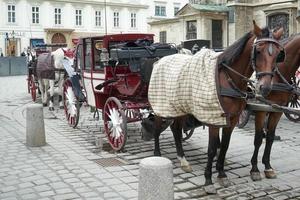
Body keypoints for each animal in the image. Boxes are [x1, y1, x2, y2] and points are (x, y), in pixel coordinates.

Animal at [150, 20, 284, 194]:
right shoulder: (213, 118)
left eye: (278, 54)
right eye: (259, 51)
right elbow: (212, 148)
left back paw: (183, 160)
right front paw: (208, 180)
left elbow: (224, 146)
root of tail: (161, 60)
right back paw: (157, 154)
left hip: (179, 106)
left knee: (176, 130)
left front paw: (221, 174)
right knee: (157, 127)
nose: (265, 88)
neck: (227, 77)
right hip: (162, 105)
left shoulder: (231, 120)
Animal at [250, 33, 300, 181]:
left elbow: (270, 137)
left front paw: (267, 166)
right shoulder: (260, 109)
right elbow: (258, 138)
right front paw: (254, 169)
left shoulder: (277, 110)